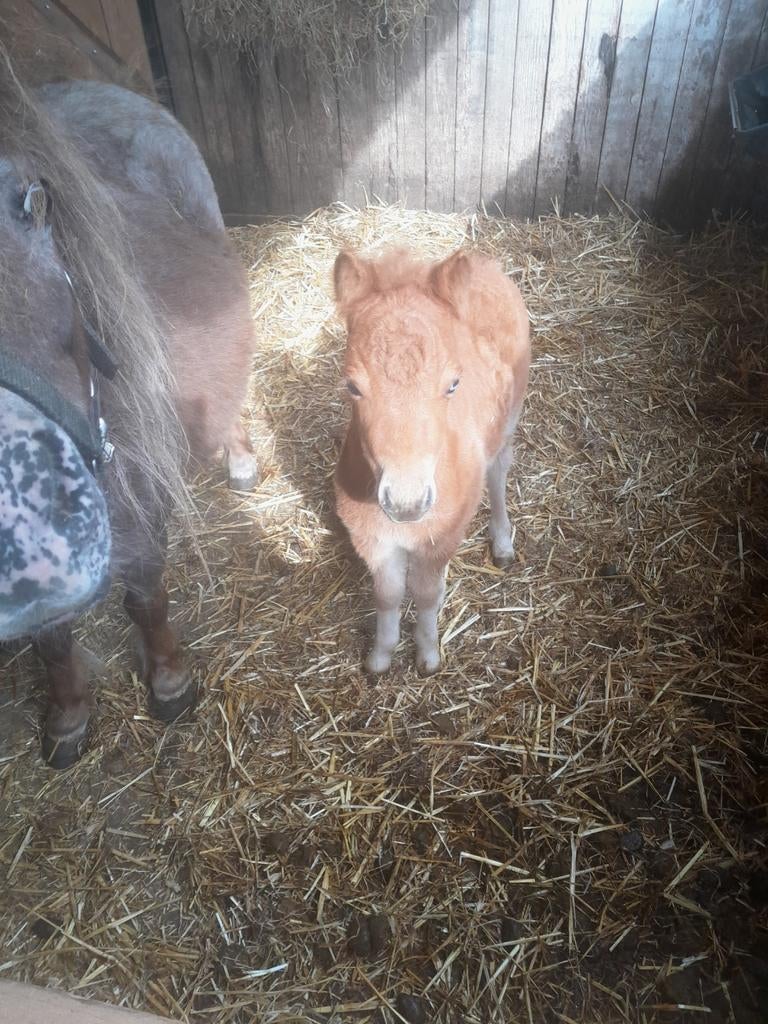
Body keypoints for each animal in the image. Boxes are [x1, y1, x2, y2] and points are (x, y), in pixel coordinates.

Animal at [0, 54, 257, 767]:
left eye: (33, 201)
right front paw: (67, 713)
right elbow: (51, 639)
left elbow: (145, 597)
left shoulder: (145, 497)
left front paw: (168, 679)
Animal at [333, 248, 531, 675]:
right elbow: (388, 595)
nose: (406, 503)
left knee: (498, 472)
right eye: (352, 386)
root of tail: (484, 262)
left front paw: (427, 655)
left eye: (453, 384)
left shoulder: (441, 538)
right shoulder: (372, 538)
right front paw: (380, 657)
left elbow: (426, 594)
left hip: (509, 417)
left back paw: (502, 542)